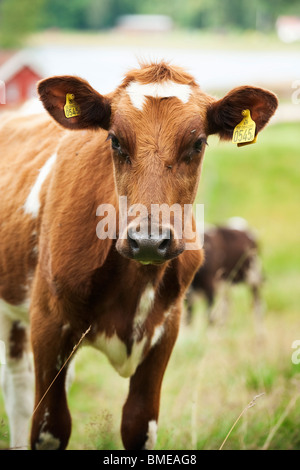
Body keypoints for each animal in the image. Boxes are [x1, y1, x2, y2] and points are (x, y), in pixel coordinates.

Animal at [0, 60, 276, 450]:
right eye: (114, 140)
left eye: (197, 143)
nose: (147, 241)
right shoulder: (48, 324)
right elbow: (48, 427)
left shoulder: (167, 329)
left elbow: (137, 425)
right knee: (19, 389)